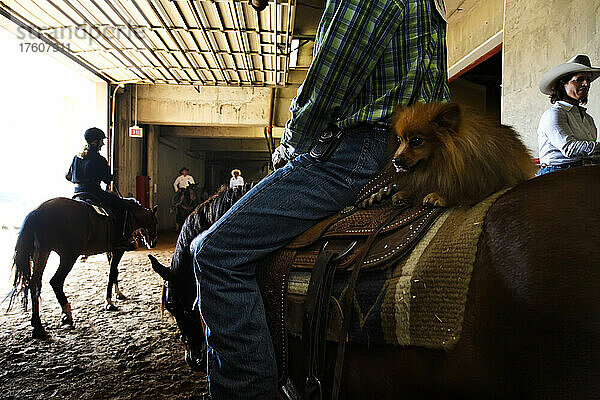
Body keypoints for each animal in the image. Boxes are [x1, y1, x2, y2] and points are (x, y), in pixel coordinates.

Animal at [9, 197, 158, 338]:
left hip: (42, 253)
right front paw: (109, 302)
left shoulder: (110, 250)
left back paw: (38, 326)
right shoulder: (118, 250)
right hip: (68, 256)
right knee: (56, 281)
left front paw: (118, 294)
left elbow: (114, 271)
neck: (130, 213)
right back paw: (66, 314)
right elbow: (112, 272)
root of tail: (38, 212)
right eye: (155, 222)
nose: (153, 243)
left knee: (35, 284)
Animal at [392, 101, 536, 206]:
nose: (395, 160)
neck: (439, 162)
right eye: (399, 140)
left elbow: (460, 191)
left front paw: (439, 195)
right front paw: (406, 192)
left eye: (416, 141)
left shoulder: (482, 182)